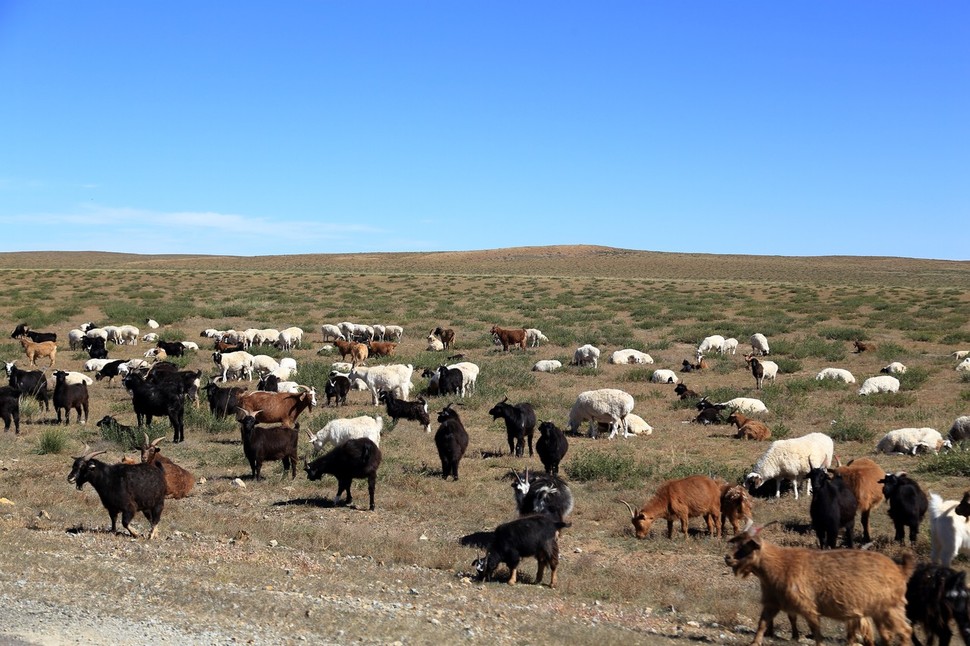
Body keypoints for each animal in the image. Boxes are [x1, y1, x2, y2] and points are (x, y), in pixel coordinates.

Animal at [728, 528, 916, 646]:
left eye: (746, 546)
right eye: (736, 543)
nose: (727, 558)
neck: (779, 565)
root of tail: (900, 570)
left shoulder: (808, 606)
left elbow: (816, 630)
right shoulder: (772, 602)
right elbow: (762, 623)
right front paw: (755, 642)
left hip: (890, 608)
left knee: (905, 630)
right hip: (879, 612)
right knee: (887, 635)